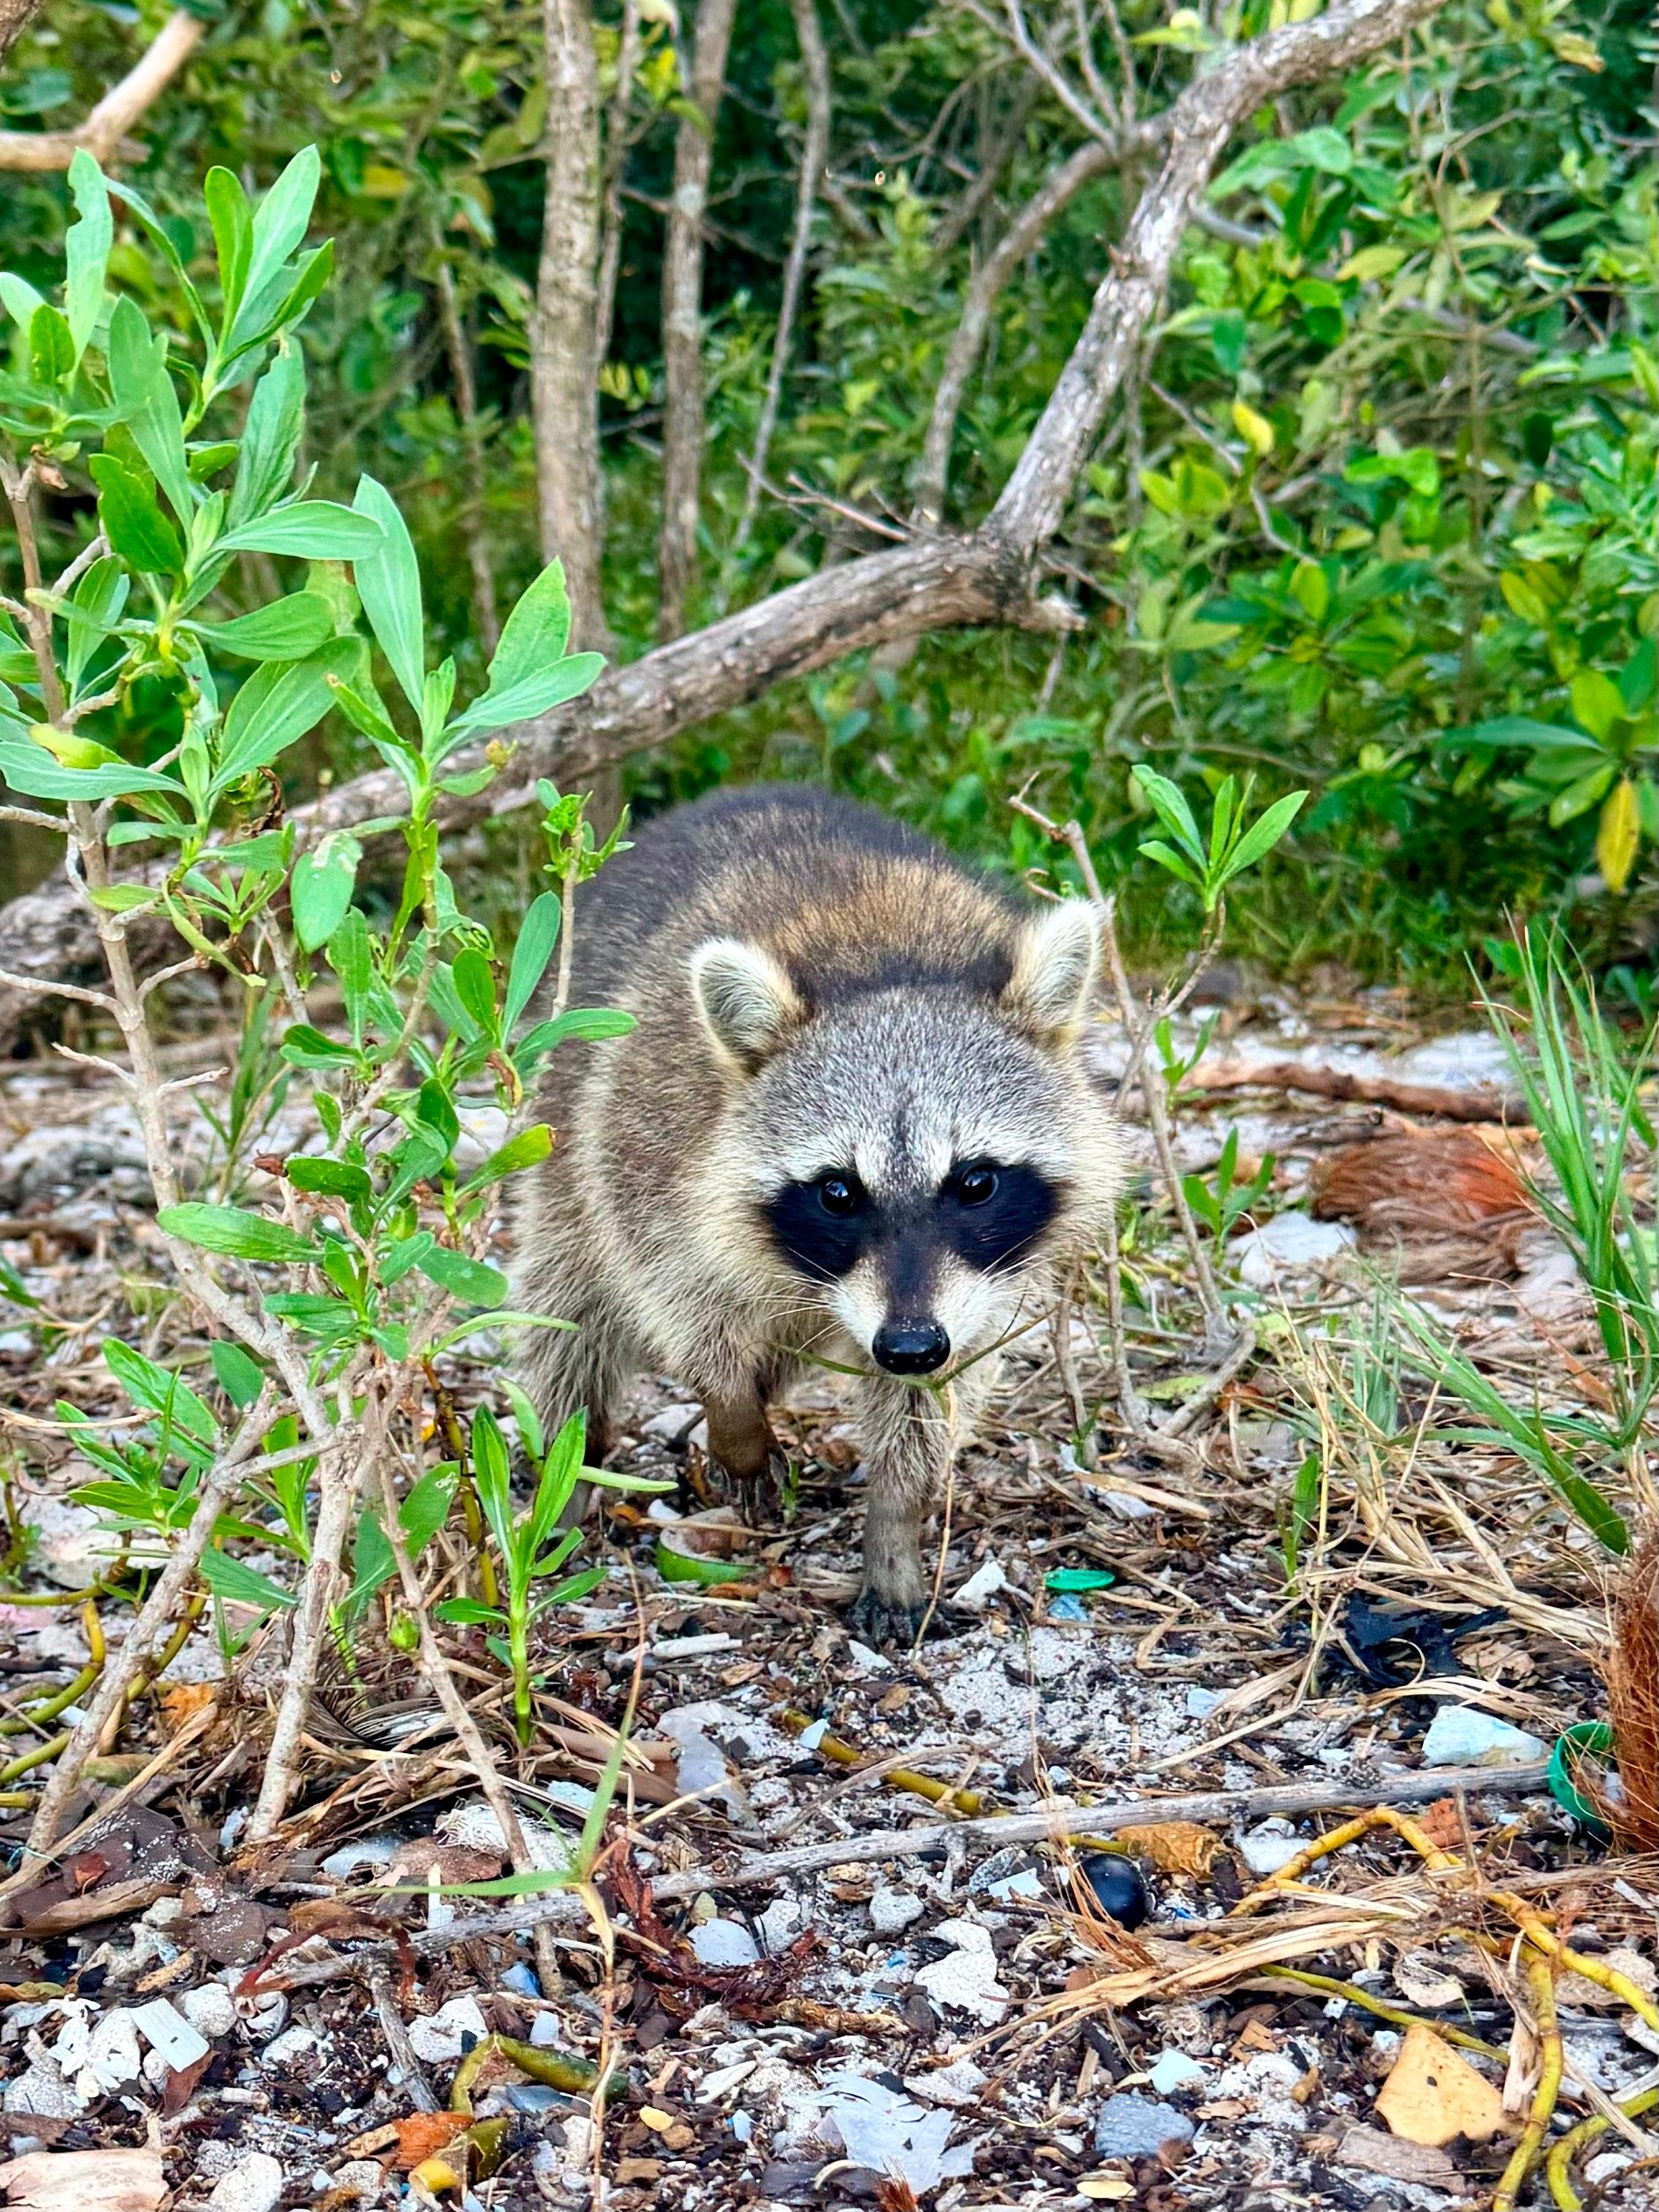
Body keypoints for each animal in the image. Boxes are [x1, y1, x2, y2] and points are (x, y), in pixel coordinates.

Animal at [513, 785, 1123, 1643]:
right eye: (837, 1191)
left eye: (975, 1182)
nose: (907, 1345)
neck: (885, 968)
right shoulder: (649, 1134)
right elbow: (670, 1290)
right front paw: (729, 1408)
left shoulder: (985, 1278)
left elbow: (935, 1397)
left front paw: (895, 1523)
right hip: (566, 1114)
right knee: (567, 1307)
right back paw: (564, 1473)